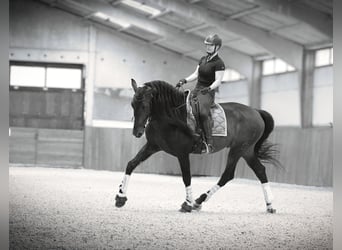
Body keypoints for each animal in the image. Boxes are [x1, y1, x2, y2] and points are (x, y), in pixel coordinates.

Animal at [115, 79, 280, 212]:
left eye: (144, 105)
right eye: (132, 104)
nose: (137, 132)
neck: (168, 117)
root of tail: (256, 112)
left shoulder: (182, 153)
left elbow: (186, 176)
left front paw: (187, 203)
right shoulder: (152, 146)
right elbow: (131, 164)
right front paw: (120, 197)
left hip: (238, 149)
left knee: (228, 174)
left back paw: (198, 201)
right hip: (247, 151)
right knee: (259, 171)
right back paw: (270, 205)